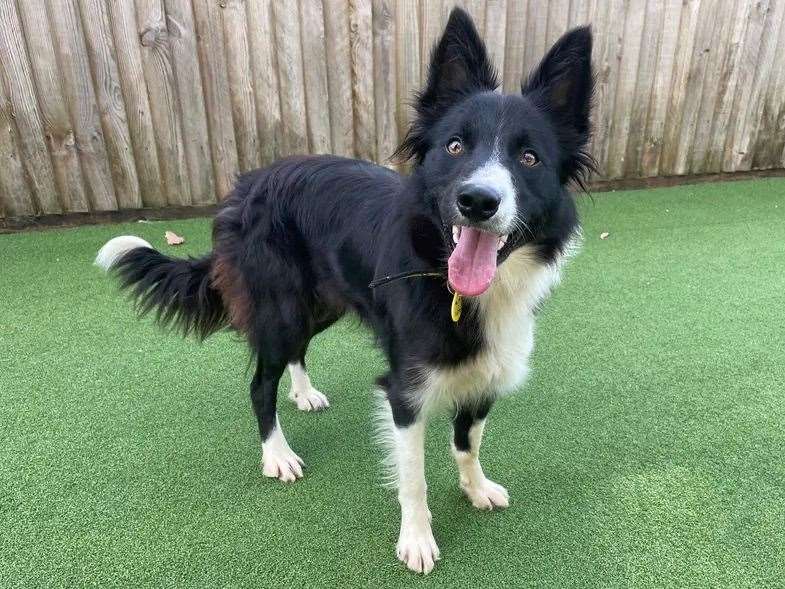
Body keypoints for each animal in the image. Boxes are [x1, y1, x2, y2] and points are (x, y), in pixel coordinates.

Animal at [95, 10, 592, 576]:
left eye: (529, 158)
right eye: (455, 147)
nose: (477, 201)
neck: (450, 281)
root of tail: (246, 186)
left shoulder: (488, 373)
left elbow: (468, 442)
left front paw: (476, 489)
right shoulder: (405, 392)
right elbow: (414, 478)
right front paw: (417, 540)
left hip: (322, 301)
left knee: (297, 352)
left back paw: (304, 392)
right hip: (280, 307)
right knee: (260, 384)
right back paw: (276, 455)